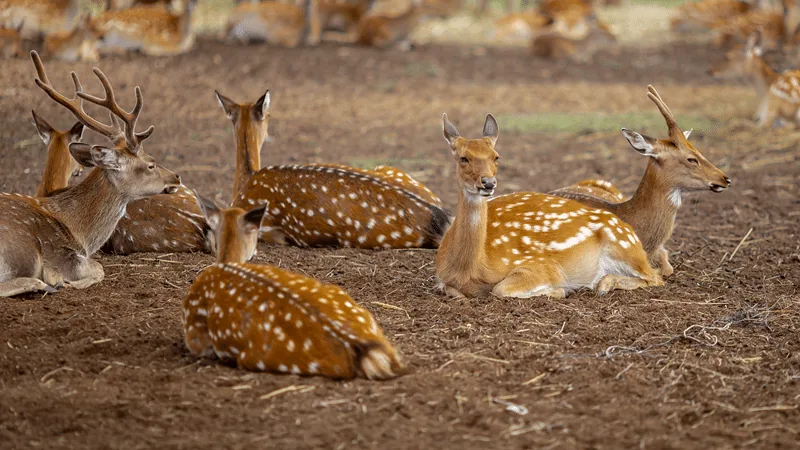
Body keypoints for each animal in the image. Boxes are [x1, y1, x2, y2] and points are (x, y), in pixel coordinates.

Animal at [0, 52, 181, 297]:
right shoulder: (58, 253)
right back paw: (45, 285)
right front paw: (64, 282)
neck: (80, 234)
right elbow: (98, 267)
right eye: (151, 164)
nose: (176, 177)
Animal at [435, 113, 663, 299]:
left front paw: (560, 290)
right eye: (463, 158)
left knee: (655, 276)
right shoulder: (442, 279)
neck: (470, 269)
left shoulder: (543, 266)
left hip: (623, 246)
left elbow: (499, 289)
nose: (488, 182)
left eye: (496, 157)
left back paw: (603, 284)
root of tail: (630, 231)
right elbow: (450, 289)